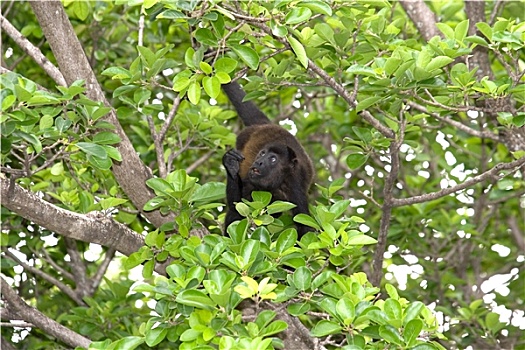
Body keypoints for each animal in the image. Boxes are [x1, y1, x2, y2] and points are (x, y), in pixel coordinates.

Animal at [222, 80, 316, 237]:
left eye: (272, 159)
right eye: (262, 153)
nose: (259, 162)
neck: (278, 181)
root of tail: (264, 124)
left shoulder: (296, 188)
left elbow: (304, 226)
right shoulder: (251, 180)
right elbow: (237, 207)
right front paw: (231, 165)